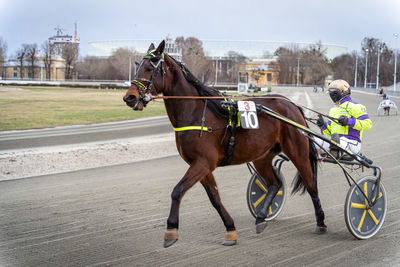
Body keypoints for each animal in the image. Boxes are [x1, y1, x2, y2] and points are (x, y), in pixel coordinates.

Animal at [123, 40, 326, 249]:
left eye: (149, 68)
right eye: (137, 67)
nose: (129, 97)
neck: (197, 113)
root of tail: (292, 105)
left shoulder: (203, 162)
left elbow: (177, 191)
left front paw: (171, 230)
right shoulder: (201, 165)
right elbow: (215, 197)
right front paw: (230, 230)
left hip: (297, 151)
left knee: (311, 185)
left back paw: (320, 222)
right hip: (262, 157)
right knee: (275, 183)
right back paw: (261, 217)